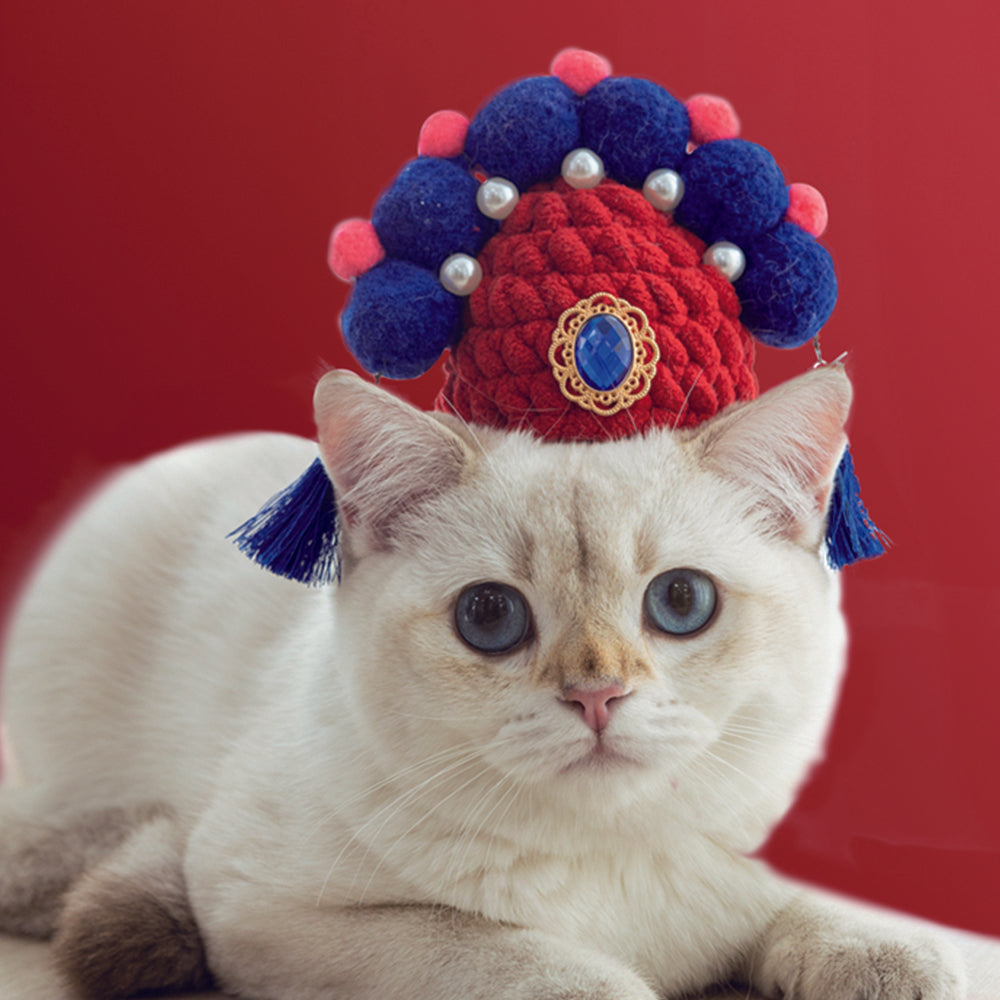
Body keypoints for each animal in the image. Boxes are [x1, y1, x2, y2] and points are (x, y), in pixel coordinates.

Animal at [0, 365, 965, 1000]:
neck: (612, 851)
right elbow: (535, 964)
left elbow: (832, 910)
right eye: (490, 617)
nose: (596, 697)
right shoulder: (277, 913)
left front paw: (886, 959)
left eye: (682, 602)